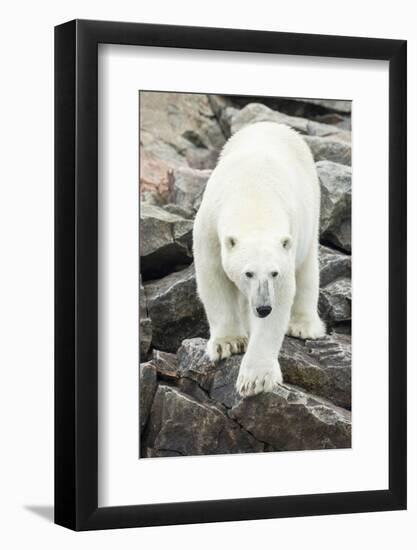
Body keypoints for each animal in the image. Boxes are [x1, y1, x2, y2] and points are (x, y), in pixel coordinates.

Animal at [192, 122, 324, 396]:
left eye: (274, 273)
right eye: (248, 273)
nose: (263, 308)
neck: (253, 198)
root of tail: (273, 123)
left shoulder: (288, 240)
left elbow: (283, 294)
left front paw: (255, 379)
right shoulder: (209, 225)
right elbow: (213, 277)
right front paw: (227, 344)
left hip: (311, 209)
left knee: (308, 269)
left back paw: (303, 326)